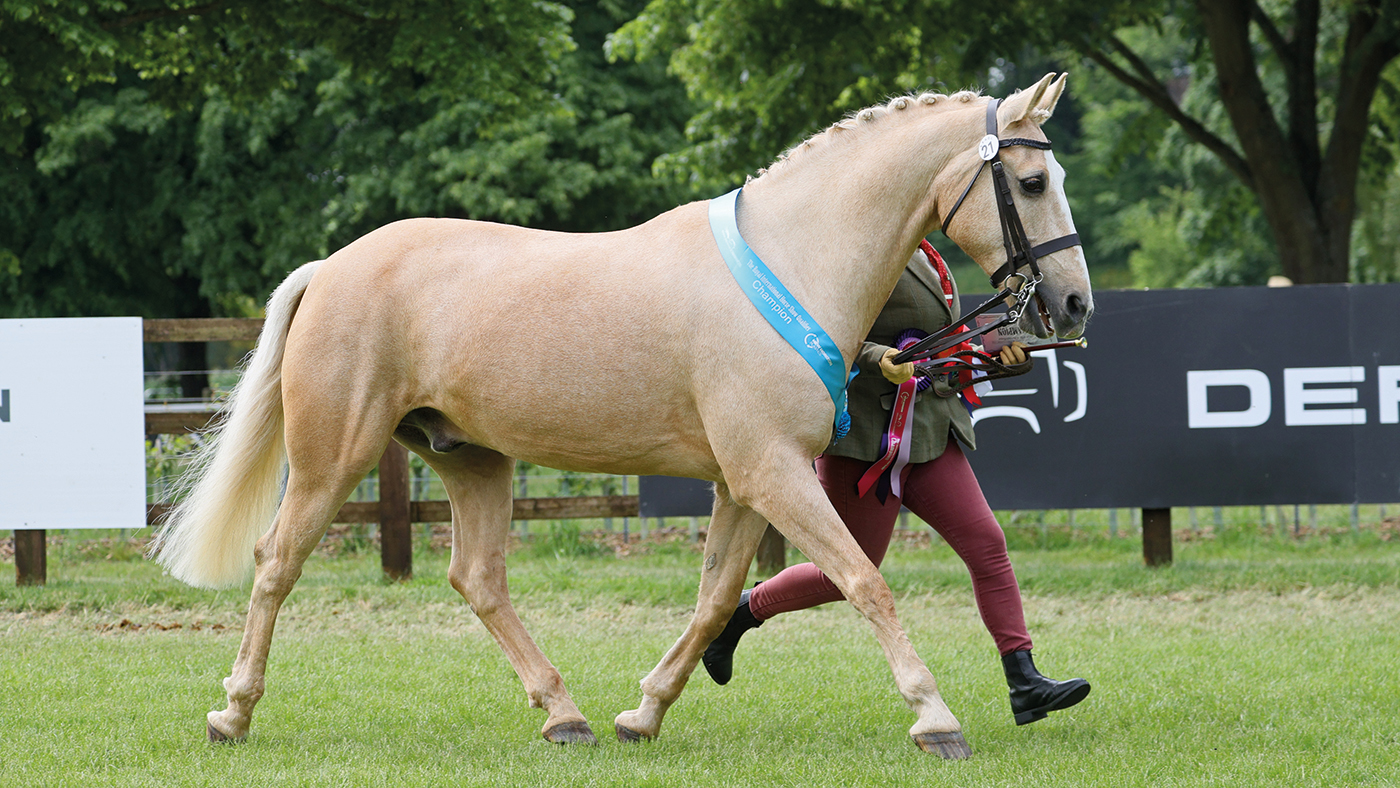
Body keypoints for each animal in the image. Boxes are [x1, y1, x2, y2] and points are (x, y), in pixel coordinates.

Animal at [152, 72, 1091, 758]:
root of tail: (333, 266)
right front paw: (935, 717)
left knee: (478, 579)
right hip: (332, 459)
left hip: (471, 457)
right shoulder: (770, 473)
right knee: (277, 564)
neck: (792, 261)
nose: (1073, 303)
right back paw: (232, 715)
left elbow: (717, 597)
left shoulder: (743, 485)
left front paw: (644, 713)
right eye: (1032, 180)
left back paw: (564, 714)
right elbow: (865, 581)